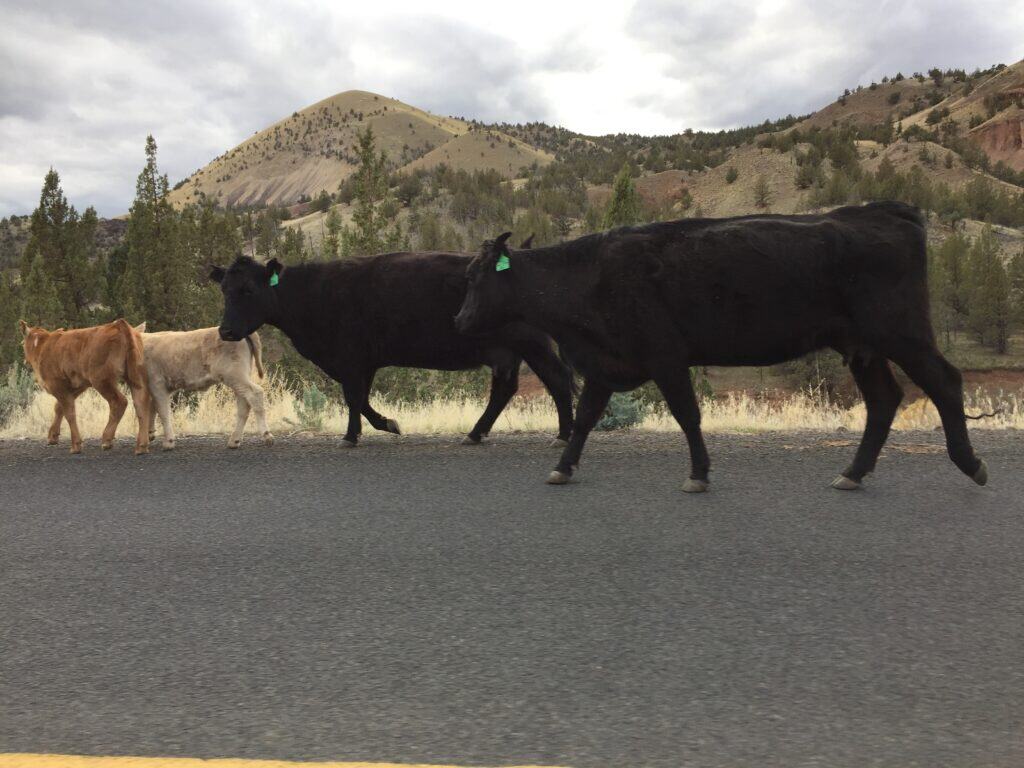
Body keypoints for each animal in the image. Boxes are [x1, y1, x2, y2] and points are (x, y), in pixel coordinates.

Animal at [19, 318, 151, 454]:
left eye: (22, 342)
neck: (43, 346)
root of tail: (120, 325)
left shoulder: (57, 385)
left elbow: (69, 412)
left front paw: (75, 445)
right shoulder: (77, 386)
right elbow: (59, 408)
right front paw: (52, 436)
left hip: (102, 381)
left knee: (119, 402)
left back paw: (107, 440)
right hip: (135, 377)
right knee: (141, 403)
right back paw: (142, 446)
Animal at [134, 324, 272, 450]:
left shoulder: (157, 384)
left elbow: (162, 411)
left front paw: (168, 442)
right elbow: (152, 408)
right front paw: (150, 433)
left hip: (234, 375)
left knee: (255, 393)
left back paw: (266, 435)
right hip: (239, 377)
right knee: (244, 403)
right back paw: (234, 440)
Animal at [210, 251, 575, 447]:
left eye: (248, 290)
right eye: (224, 289)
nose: (226, 331)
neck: (312, 293)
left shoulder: (351, 358)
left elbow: (354, 397)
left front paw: (352, 436)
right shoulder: (363, 362)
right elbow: (361, 399)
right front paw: (387, 424)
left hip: (531, 344)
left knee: (557, 380)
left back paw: (563, 434)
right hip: (507, 352)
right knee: (505, 389)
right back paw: (475, 433)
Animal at [454, 202, 988, 492]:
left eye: (477, 276)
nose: (459, 320)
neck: (590, 274)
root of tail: (888, 212)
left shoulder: (666, 358)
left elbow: (687, 415)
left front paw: (699, 473)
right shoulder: (606, 366)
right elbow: (586, 418)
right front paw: (562, 468)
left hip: (903, 334)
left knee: (944, 381)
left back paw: (972, 464)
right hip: (863, 347)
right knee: (884, 400)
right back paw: (852, 473)